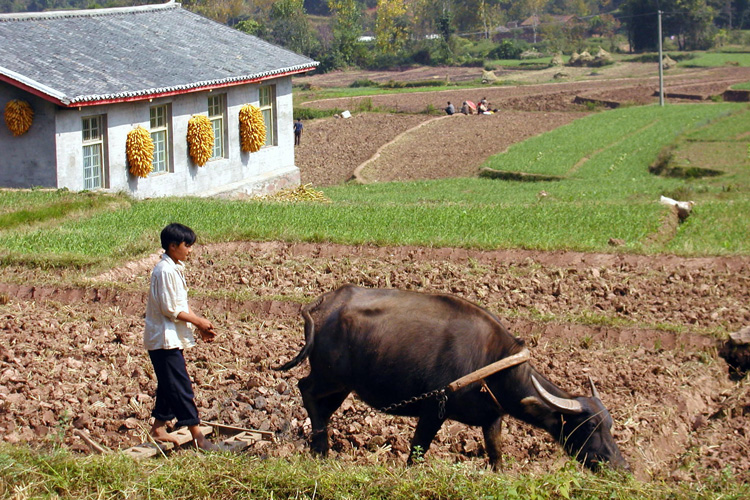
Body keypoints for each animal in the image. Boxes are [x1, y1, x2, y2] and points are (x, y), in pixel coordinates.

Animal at [280, 284, 632, 470]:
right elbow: (417, 452)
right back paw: (320, 448)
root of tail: (324, 304)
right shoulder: (433, 411)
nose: (622, 467)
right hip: (330, 378)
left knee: (322, 407)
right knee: (305, 389)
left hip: (342, 386)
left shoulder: (492, 418)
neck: (492, 365)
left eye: (610, 425)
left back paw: (320, 448)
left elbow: (496, 454)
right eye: (588, 427)